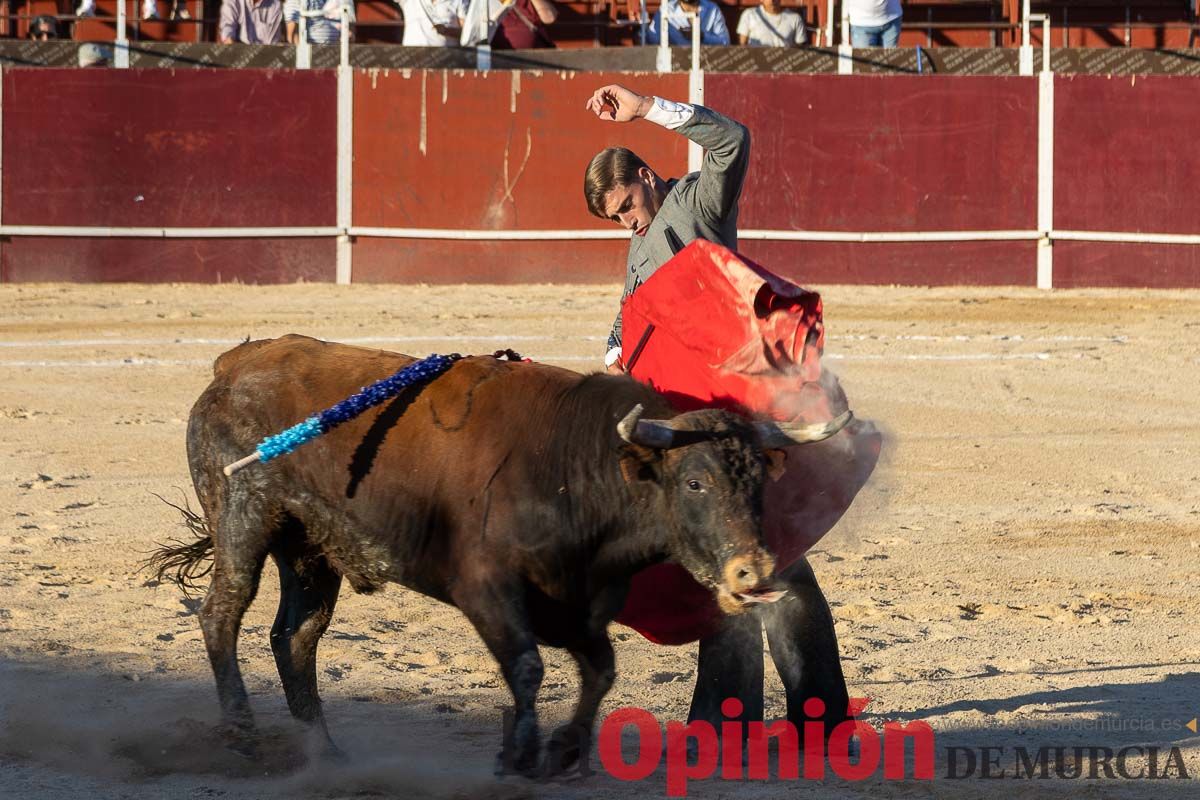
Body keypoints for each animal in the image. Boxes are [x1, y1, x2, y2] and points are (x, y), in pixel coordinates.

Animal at [150, 335, 849, 777]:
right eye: (696, 482)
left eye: (759, 484)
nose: (753, 571)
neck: (575, 467)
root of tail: (234, 365)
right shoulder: (486, 590)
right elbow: (529, 668)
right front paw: (520, 756)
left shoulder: (581, 603)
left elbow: (600, 672)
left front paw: (563, 751)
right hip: (243, 518)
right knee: (222, 614)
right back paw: (243, 738)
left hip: (310, 551)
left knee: (296, 637)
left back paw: (324, 752)